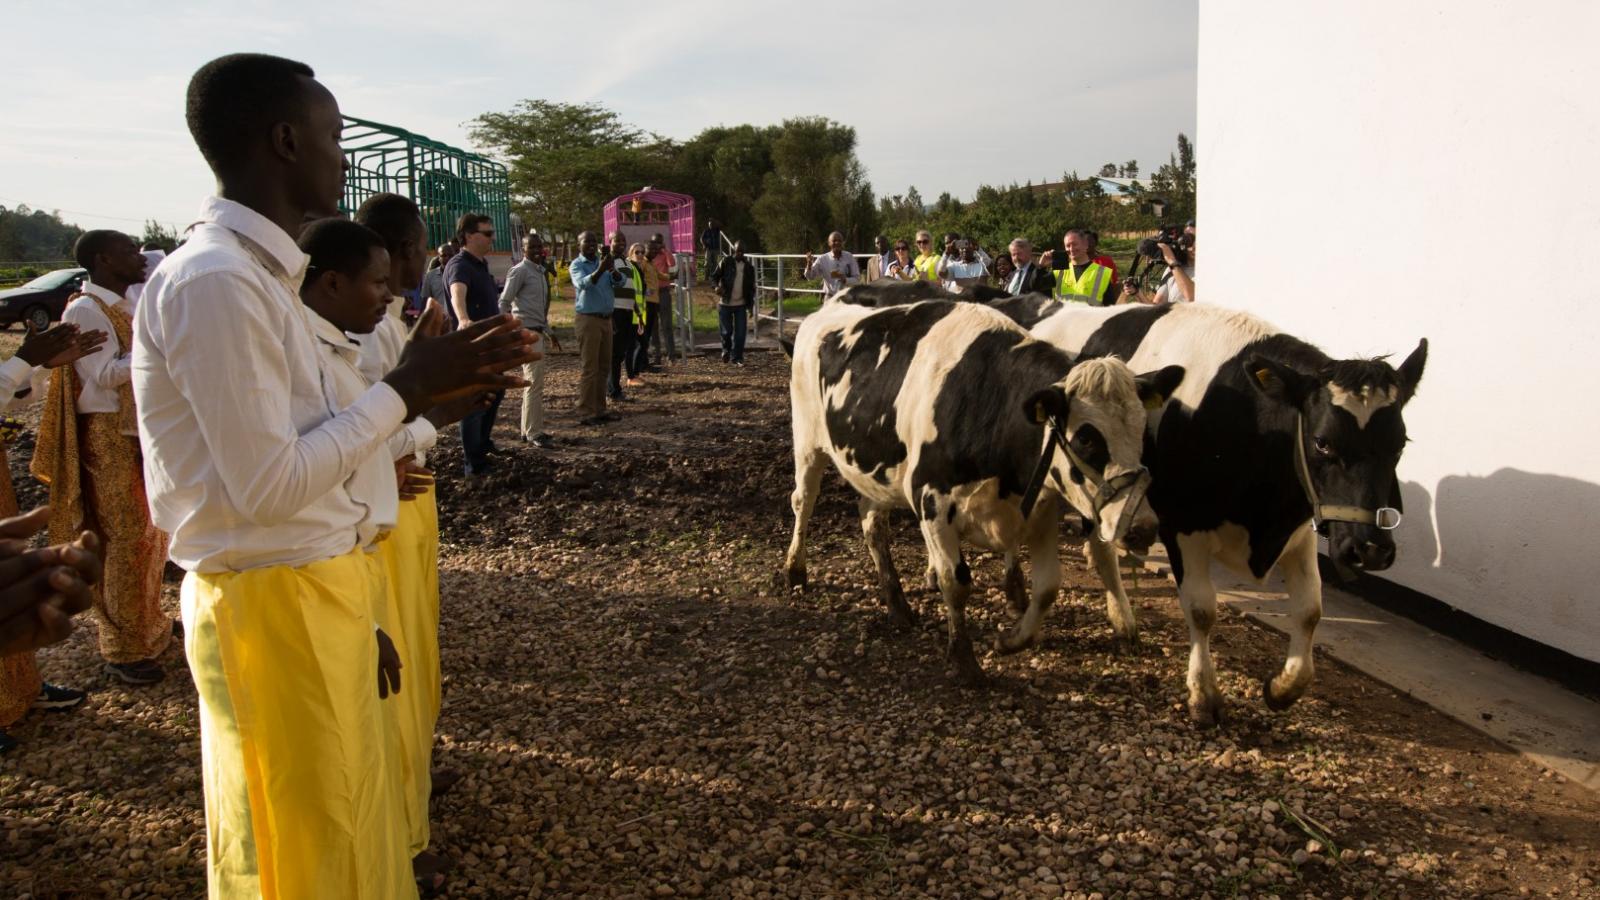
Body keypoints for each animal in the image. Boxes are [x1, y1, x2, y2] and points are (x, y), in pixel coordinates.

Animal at [790, 299, 1184, 679]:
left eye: (1141, 430)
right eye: (1086, 438)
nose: (1143, 527)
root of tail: (825, 311)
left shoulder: (1039, 508)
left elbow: (1048, 587)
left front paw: (1012, 640)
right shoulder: (931, 501)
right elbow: (956, 582)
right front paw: (964, 659)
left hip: (879, 473)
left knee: (872, 523)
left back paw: (897, 604)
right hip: (808, 444)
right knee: (803, 502)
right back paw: (795, 571)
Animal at [1030, 304, 1433, 723]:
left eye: (1401, 443)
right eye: (1323, 442)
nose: (1370, 549)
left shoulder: (1299, 531)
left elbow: (1311, 609)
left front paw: (1283, 687)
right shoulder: (1182, 526)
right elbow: (1202, 609)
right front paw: (1204, 694)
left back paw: (1122, 621)